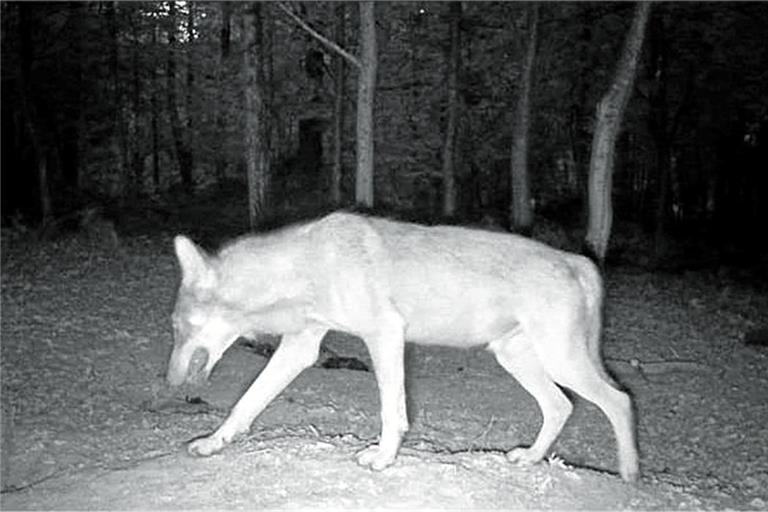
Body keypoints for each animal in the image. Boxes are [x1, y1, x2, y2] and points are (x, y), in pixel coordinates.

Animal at [167, 211, 639, 482]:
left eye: (176, 327)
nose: (169, 382)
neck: (306, 266)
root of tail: (579, 260)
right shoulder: (301, 347)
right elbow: (245, 404)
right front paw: (212, 443)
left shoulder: (385, 335)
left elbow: (391, 413)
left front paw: (383, 459)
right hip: (519, 360)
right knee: (562, 406)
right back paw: (530, 458)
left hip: (562, 362)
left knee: (619, 400)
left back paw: (629, 474)